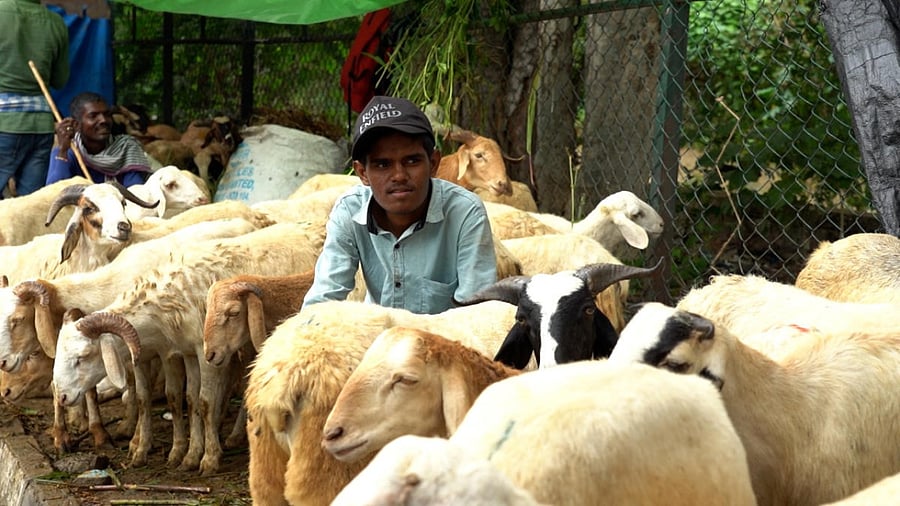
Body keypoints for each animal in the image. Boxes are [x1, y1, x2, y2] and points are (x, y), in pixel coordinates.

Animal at [52, 222, 325, 473]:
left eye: (83, 356)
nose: (62, 396)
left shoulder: (208, 354)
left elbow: (205, 402)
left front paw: (209, 458)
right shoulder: (183, 353)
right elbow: (181, 399)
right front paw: (184, 454)